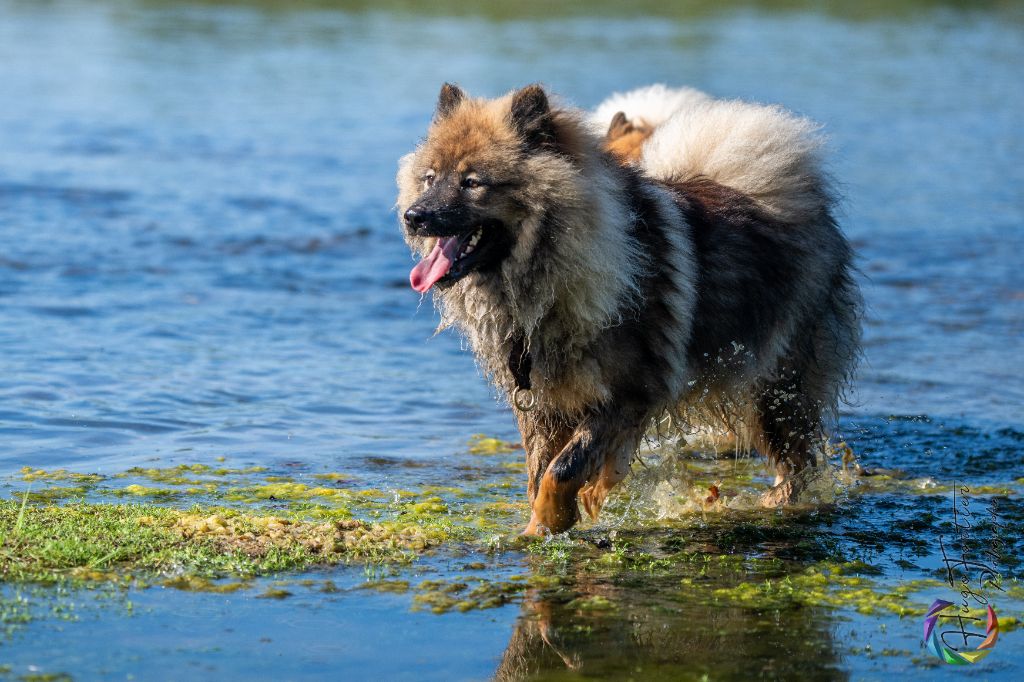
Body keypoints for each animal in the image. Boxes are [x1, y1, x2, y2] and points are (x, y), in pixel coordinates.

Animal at [395, 83, 860, 532]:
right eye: (430, 178)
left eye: (472, 182)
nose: (413, 216)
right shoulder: (543, 403)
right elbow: (539, 469)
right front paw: (537, 528)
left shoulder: (628, 392)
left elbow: (562, 468)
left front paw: (553, 519)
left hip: (778, 390)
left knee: (798, 462)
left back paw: (777, 503)